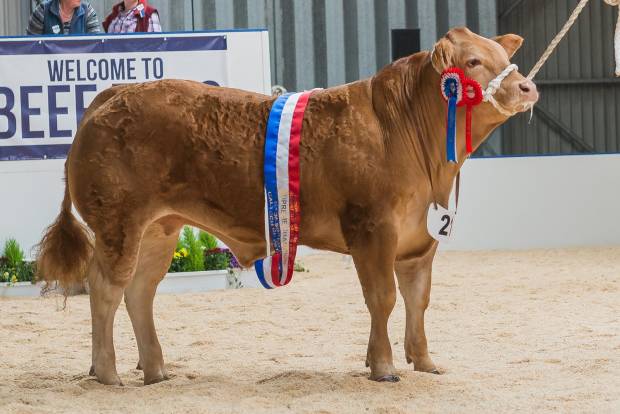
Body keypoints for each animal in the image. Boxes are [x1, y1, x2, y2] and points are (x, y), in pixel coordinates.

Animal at [37, 28, 536, 384]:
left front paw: (425, 361)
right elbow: (383, 298)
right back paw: (108, 373)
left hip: (161, 227)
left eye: (505, 58)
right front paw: (383, 367)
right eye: (473, 62)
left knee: (140, 290)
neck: (408, 135)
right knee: (106, 287)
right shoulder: (372, 229)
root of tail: (114, 93)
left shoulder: (419, 239)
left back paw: (157, 370)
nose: (527, 87)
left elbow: (419, 300)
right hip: (118, 221)